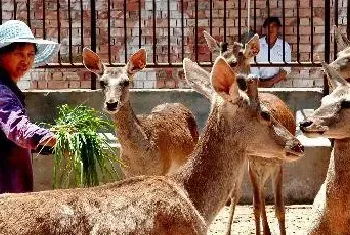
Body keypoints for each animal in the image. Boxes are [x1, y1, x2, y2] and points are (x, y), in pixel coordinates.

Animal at [202, 31, 300, 235]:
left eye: (233, 62)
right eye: (216, 58)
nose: (238, 82)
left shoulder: (279, 164)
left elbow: (280, 208)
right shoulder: (252, 165)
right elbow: (256, 206)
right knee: (255, 196)